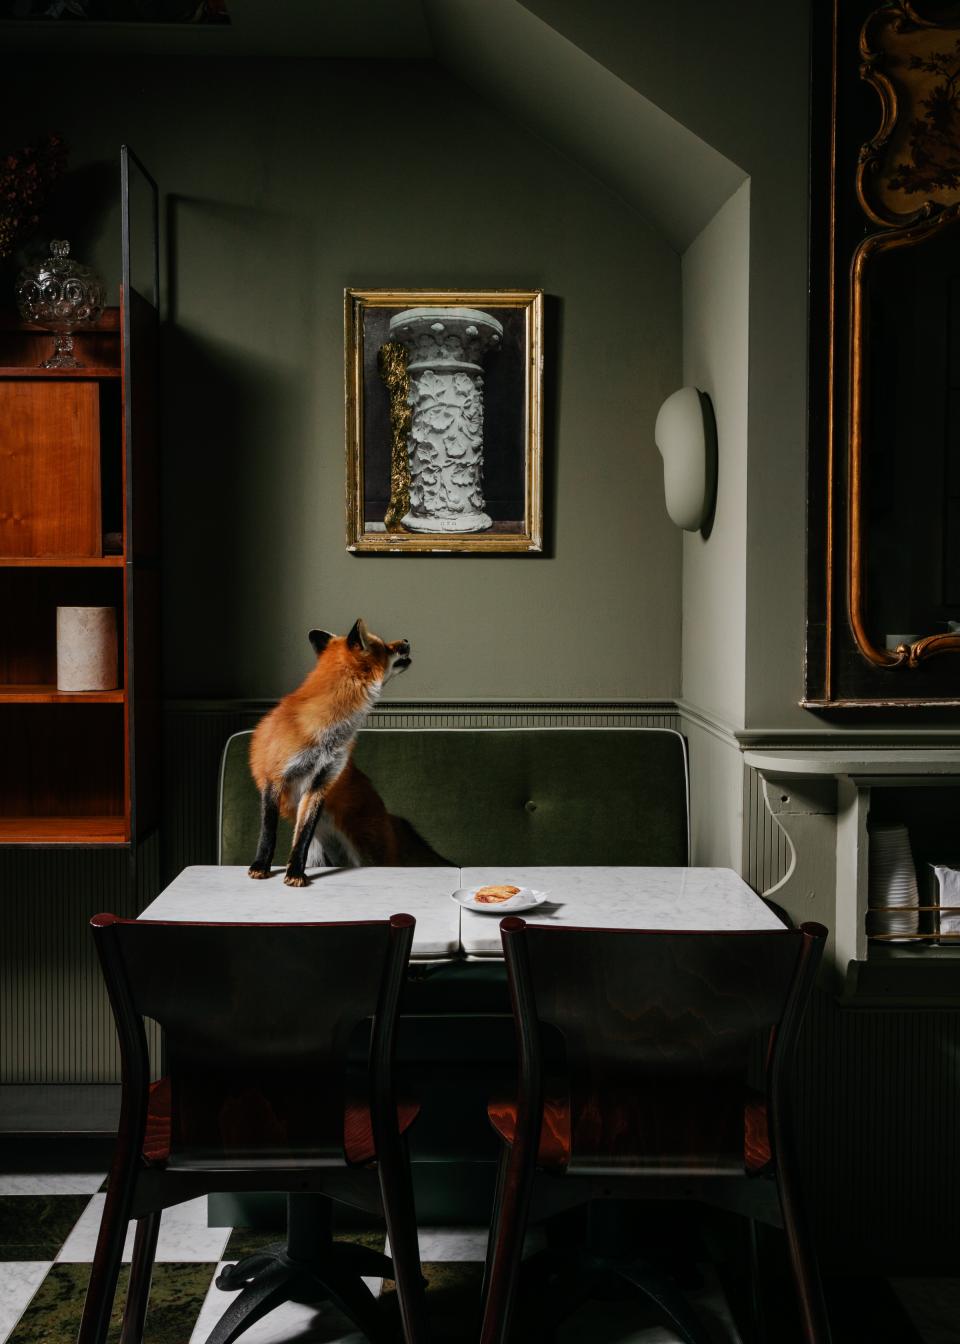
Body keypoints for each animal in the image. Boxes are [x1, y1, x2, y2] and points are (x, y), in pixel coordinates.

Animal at [247, 618, 413, 886]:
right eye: (385, 647)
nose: (406, 641)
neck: (327, 734)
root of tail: (388, 814)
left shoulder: (321, 781)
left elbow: (303, 836)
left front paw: (295, 872)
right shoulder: (274, 778)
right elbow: (268, 832)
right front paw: (261, 866)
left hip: (366, 853)